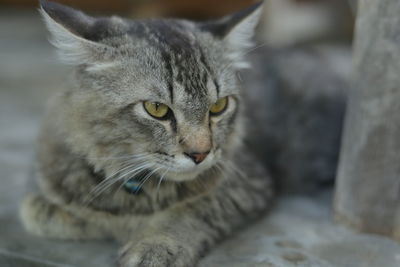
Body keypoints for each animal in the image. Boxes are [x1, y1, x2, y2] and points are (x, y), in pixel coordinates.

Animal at [19, 1, 276, 266]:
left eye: (219, 106)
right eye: (156, 109)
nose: (200, 154)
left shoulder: (247, 181)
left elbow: (192, 209)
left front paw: (157, 244)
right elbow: (42, 211)